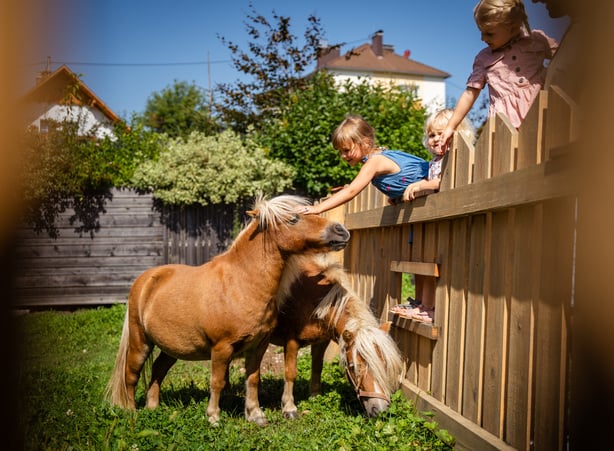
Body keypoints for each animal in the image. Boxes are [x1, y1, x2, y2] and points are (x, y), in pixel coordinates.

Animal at [106, 195, 352, 428]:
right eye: (293, 219)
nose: (341, 231)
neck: (240, 284)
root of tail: (146, 279)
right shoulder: (221, 348)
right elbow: (217, 382)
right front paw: (213, 417)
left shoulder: (258, 346)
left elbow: (252, 379)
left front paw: (255, 415)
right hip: (141, 341)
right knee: (131, 374)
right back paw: (131, 412)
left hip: (172, 347)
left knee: (158, 370)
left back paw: (152, 407)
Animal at [272, 254, 406, 420]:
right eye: (353, 367)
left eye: (384, 364)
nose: (380, 409)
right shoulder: (291, 342)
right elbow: (290, 373)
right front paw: (289, 408)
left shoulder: (321, 342)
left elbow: (317, 367)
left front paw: (315, 396)